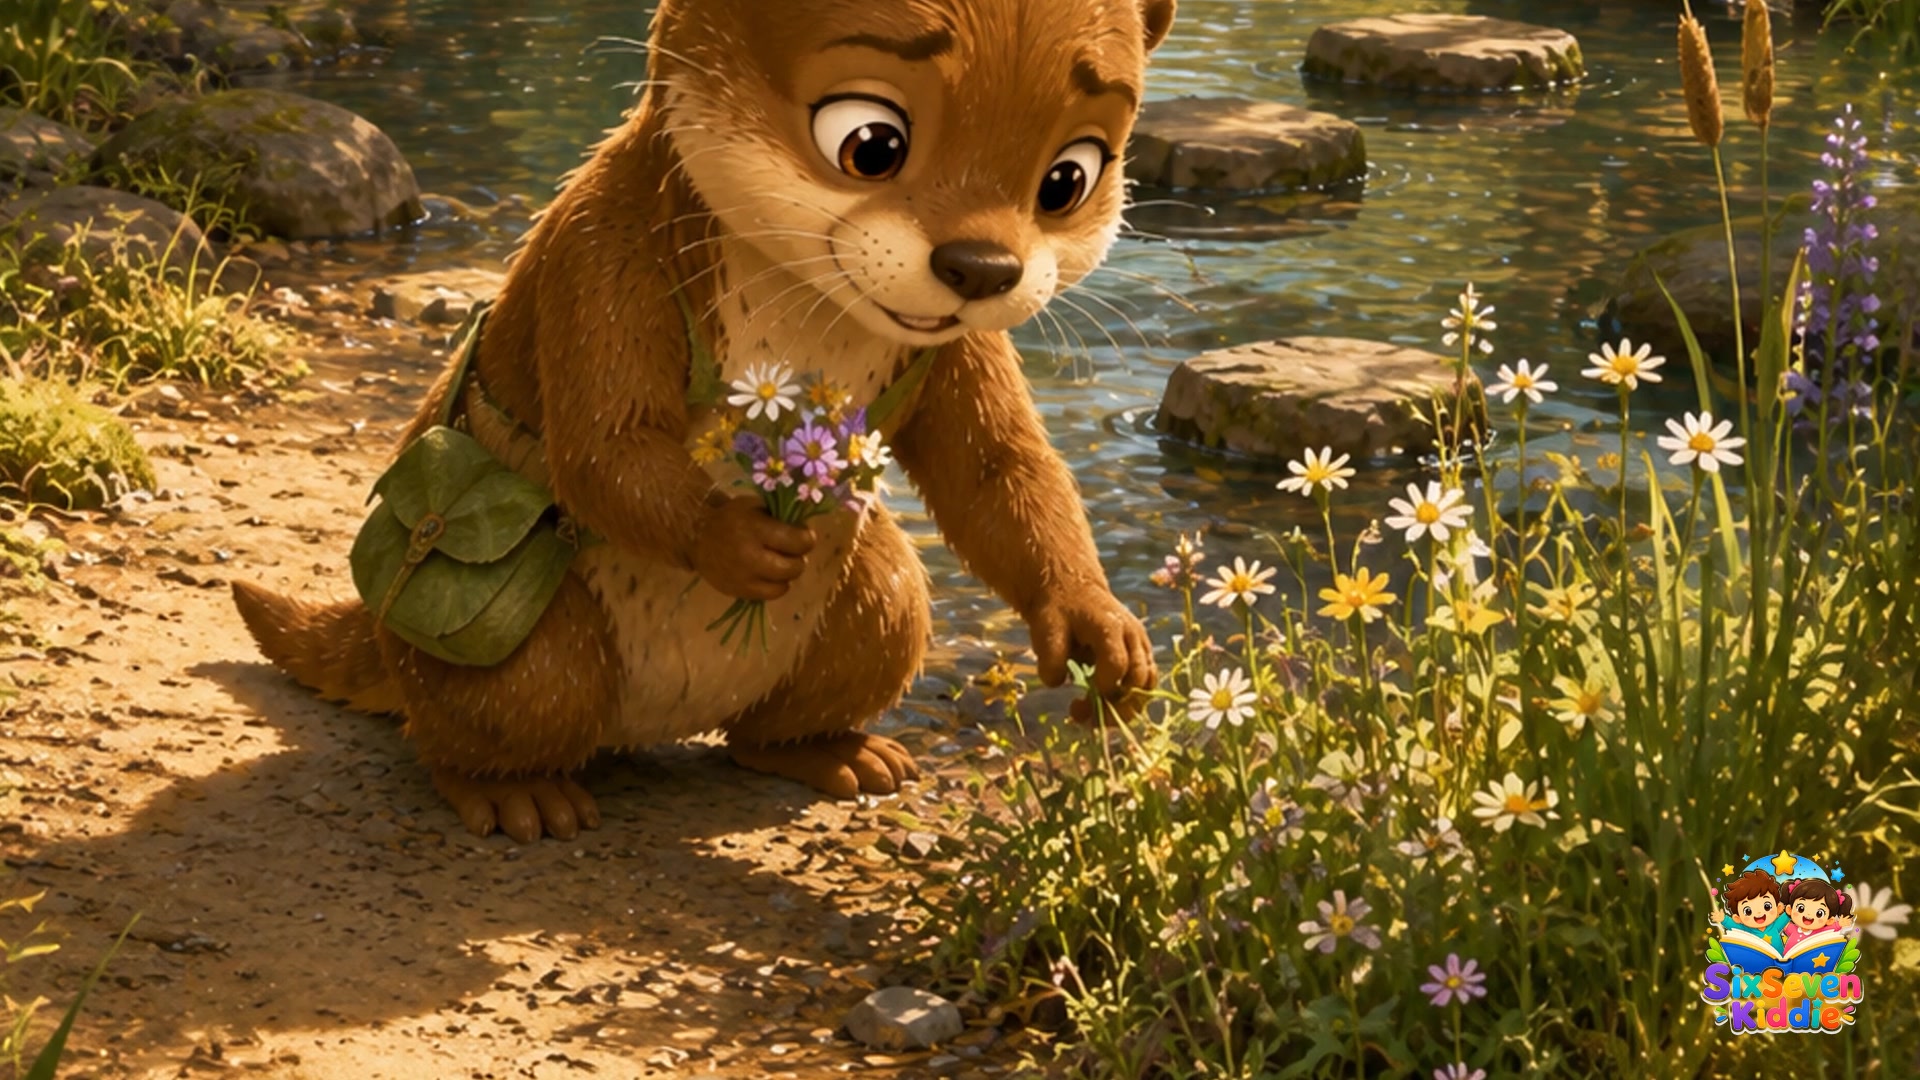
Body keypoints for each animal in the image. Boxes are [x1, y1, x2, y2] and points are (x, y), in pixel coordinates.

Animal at [232, 0, 1173, 842]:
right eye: (870, 142)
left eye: (1069, 177)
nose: (981, 267)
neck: (802, 327)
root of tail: (658, 724)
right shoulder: (602, 253)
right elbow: (605, 449)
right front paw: (737, 541)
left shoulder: (953, 353)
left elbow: (999, 469)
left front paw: (1099, 625)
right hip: (525, 645)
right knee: (482, 715)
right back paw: (513, 794)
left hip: (877, 597)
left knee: (809, 685)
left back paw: (834, 755)